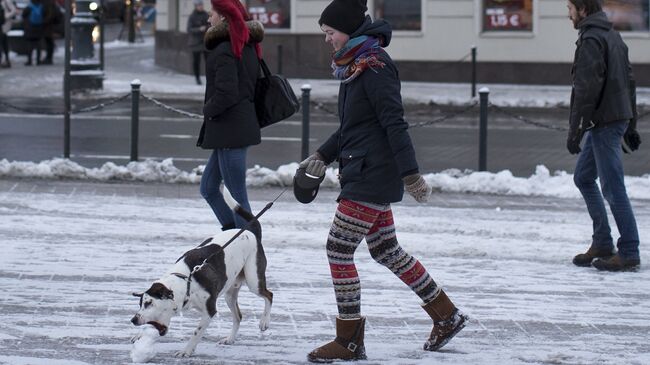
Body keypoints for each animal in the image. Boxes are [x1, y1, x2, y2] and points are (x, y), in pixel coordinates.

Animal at [130, 186, 272, 356]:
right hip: (230, 292)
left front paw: (186, 351)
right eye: (141, 303)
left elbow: (196, 332)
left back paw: (264, 321)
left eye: (149, 303)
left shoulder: (209, 311)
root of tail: (250, 232)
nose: (133, 320)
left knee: (269, 295)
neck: (187, 282)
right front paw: (139, 334)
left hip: (253, 280)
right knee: (238, 316)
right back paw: (230, 339)